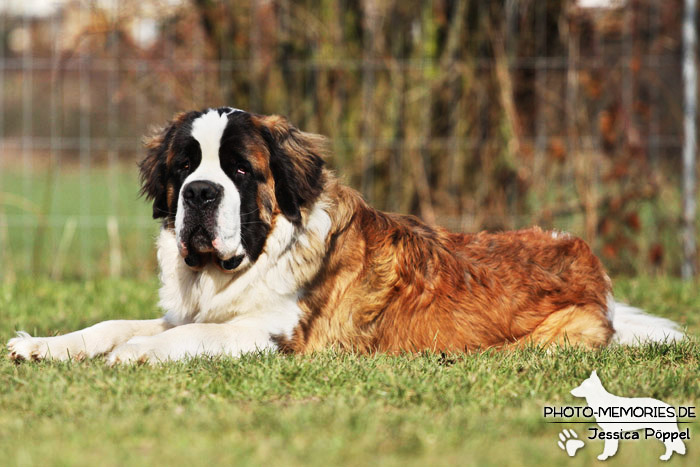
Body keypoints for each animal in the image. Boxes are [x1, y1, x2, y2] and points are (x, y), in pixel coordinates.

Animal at [5, 107, 684, 366]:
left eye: (240, 170)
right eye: (184, 167)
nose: (199, 194)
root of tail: (593, 270)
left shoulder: (275, 336)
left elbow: (188, 334)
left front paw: (136, 354)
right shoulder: (191, 311)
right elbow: (112, 325)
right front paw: (42, 345)